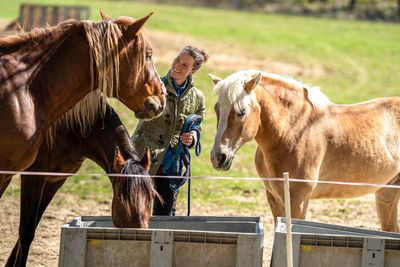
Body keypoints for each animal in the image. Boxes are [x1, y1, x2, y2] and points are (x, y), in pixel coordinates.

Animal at [5, 101, 155, 266]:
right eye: (121, 198)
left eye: (151, 197)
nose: (140, 235)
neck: (70, 129)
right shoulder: (34, 177)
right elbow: (26, 231)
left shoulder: (54, 181)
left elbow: (34, 223)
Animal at [209, 70, 400, 233]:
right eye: (217, 109)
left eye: (242, 112)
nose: (218, 157)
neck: (294, 130)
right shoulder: (274, 197)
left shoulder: (298, 199)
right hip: (387, 192)